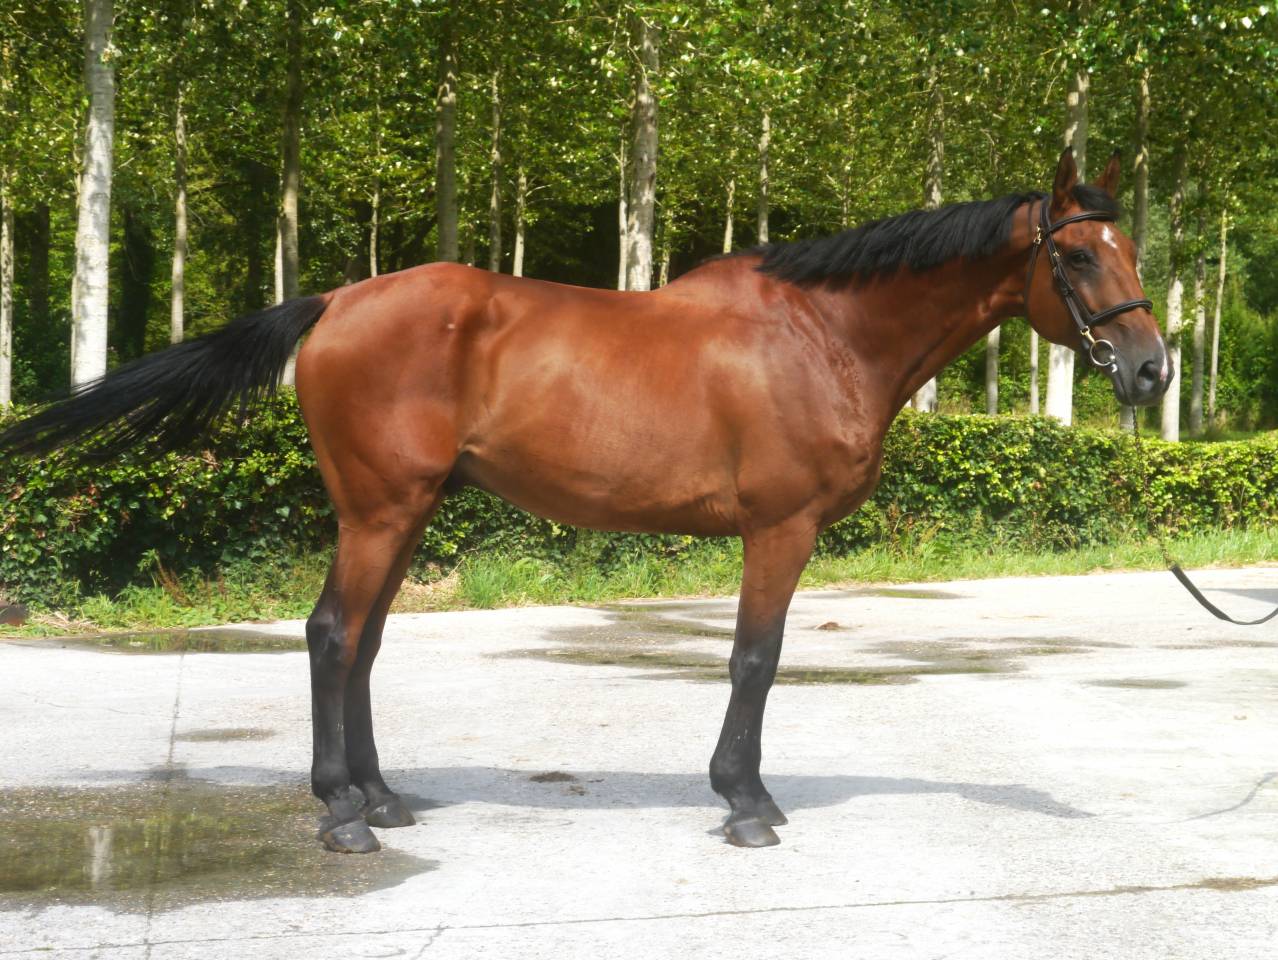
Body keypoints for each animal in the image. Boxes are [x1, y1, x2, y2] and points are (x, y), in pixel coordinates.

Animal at [0, 148, 1170, 852]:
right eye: (1075, 254)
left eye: (1131, 249)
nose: (1152, 371)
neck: (821, 334)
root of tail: (336, 301)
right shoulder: (778, 530)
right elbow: (756, 660)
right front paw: (746, 803)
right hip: (380, 511)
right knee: (332, 634)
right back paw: (342, 815)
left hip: (407, 511)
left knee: (363, 643)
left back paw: (382, 798)